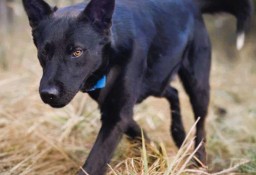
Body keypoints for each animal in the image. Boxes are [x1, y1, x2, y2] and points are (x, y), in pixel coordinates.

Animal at [22, 0, 252, 174]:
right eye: (44, 52)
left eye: (77, 52)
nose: (48, 94)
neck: (112, 51)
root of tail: (191, 4)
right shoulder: (113, 108)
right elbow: (136, 130)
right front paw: (155, 152)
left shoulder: (117, 113)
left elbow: (95, 161)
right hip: (157, 80)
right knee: (172, 92)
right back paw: (178, 134)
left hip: (197, 84)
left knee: (201, 124)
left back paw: (199, 162)